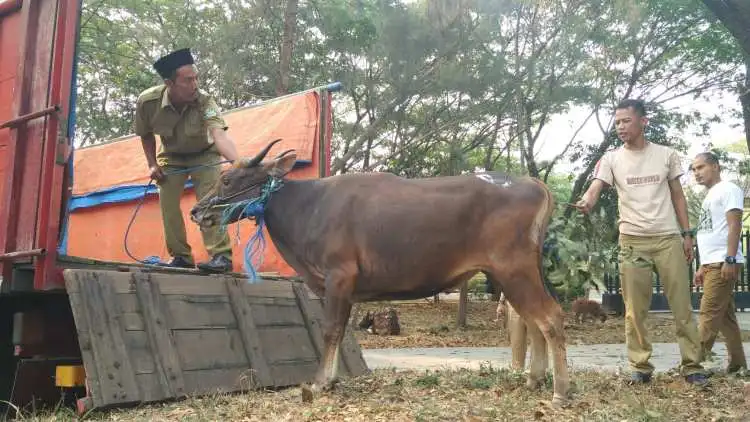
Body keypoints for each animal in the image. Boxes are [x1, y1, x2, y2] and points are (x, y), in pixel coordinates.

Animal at [191, 139, 572, 406]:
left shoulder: (339, 275)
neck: (307, 207)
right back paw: (534, 380)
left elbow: (331, 330)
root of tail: (534, 184)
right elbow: (341, 330)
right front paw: (331, 380)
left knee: (550, 317)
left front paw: (320, 382)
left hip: (515, 270)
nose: (196, 211)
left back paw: (559, 393)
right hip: (513, 275)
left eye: (227, 179)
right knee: (531, 321)